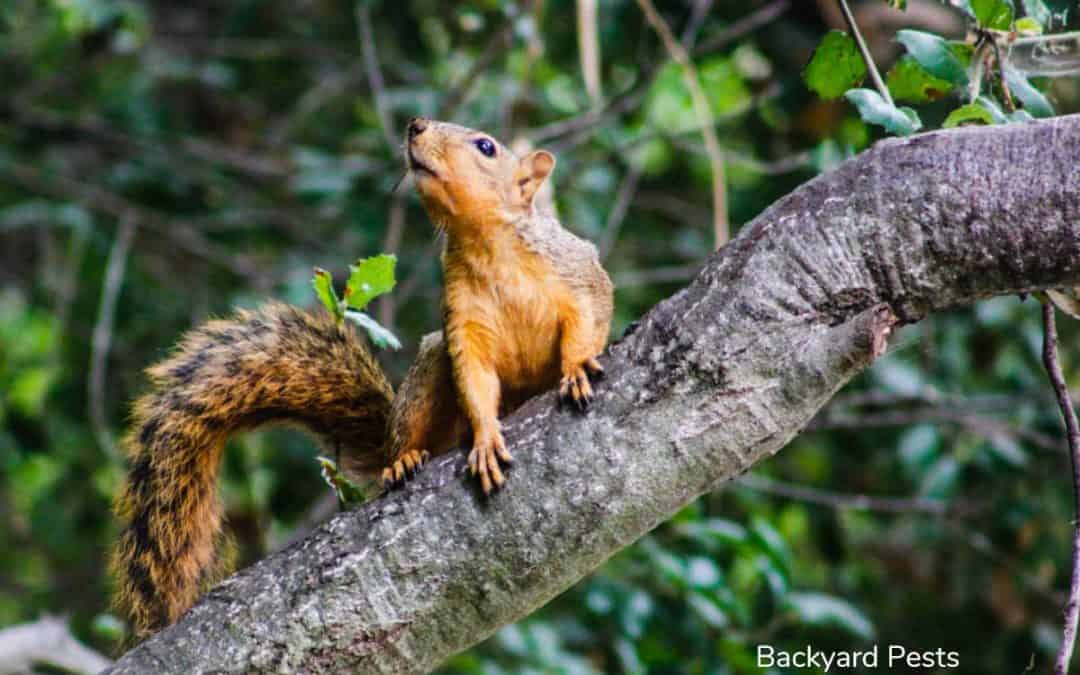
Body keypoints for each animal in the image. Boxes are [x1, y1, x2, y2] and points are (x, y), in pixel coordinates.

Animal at [111, 117, 615, 638]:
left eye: (486, 146)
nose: (416, 125)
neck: (488, 247)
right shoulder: (463, 325)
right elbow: (475, 382)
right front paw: (486, 438)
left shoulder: (577, 272)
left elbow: (586, 321)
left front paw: (577, 369)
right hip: (429, 372)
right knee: (413, 429)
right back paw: (404, 459)